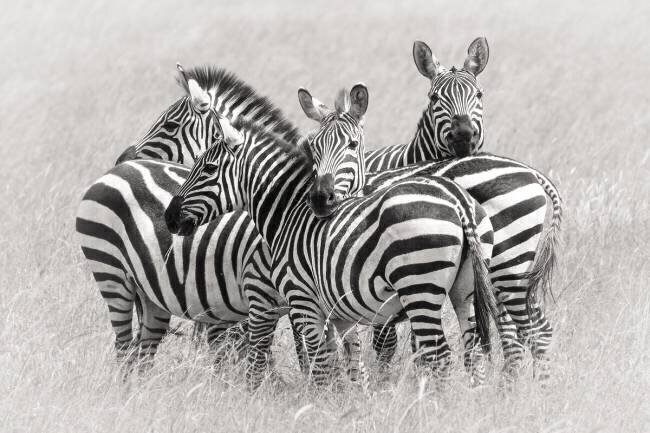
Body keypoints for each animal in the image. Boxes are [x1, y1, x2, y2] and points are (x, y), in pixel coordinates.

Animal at [164, 99, 500, 388]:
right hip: (465, 292)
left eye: (208, 169)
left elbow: (320, 366)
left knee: (439, 355)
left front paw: (318, 406)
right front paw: (352, 404)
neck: (289, 213)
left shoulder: (303, 301)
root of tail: (458, 201)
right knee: (472, 352)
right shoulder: (339, 312)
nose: (169, 218)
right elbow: (349, 363)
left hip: (419, 287)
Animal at [298, 37, 562, 380]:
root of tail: (532, 173)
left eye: (479, 95)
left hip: (507, 265)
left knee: (526, 329)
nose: (463, 135)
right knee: (527, 328)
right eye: (434, 98)